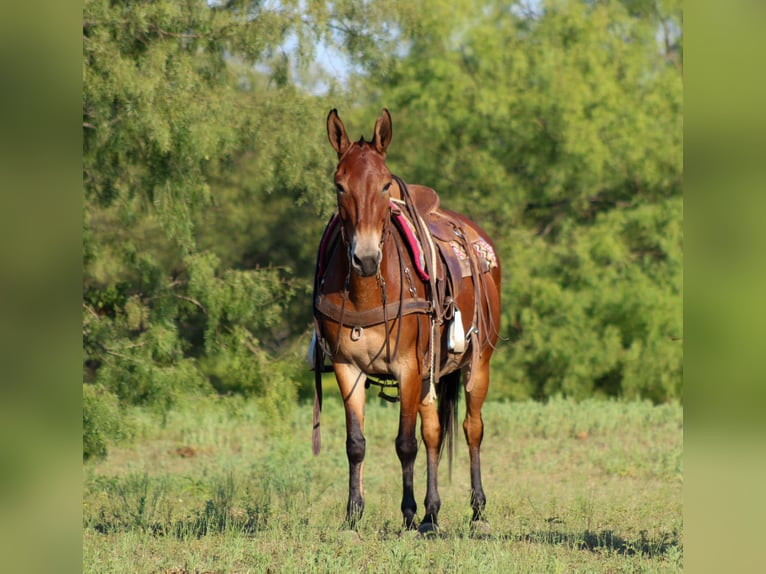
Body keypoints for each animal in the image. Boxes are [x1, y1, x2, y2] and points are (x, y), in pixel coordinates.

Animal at [311, 108, 502, 534]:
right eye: (339, 186)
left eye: (385, 185)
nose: (365, 258)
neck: (367, 289)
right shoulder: (347, 368)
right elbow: (356, 444)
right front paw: (353, 515)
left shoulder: (408, 368)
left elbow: (405, 443)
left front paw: (410, 514)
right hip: (432, 374)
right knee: (434, 433)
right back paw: (434, 512)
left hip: (478, 362)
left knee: (472, 429)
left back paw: (478, 511)